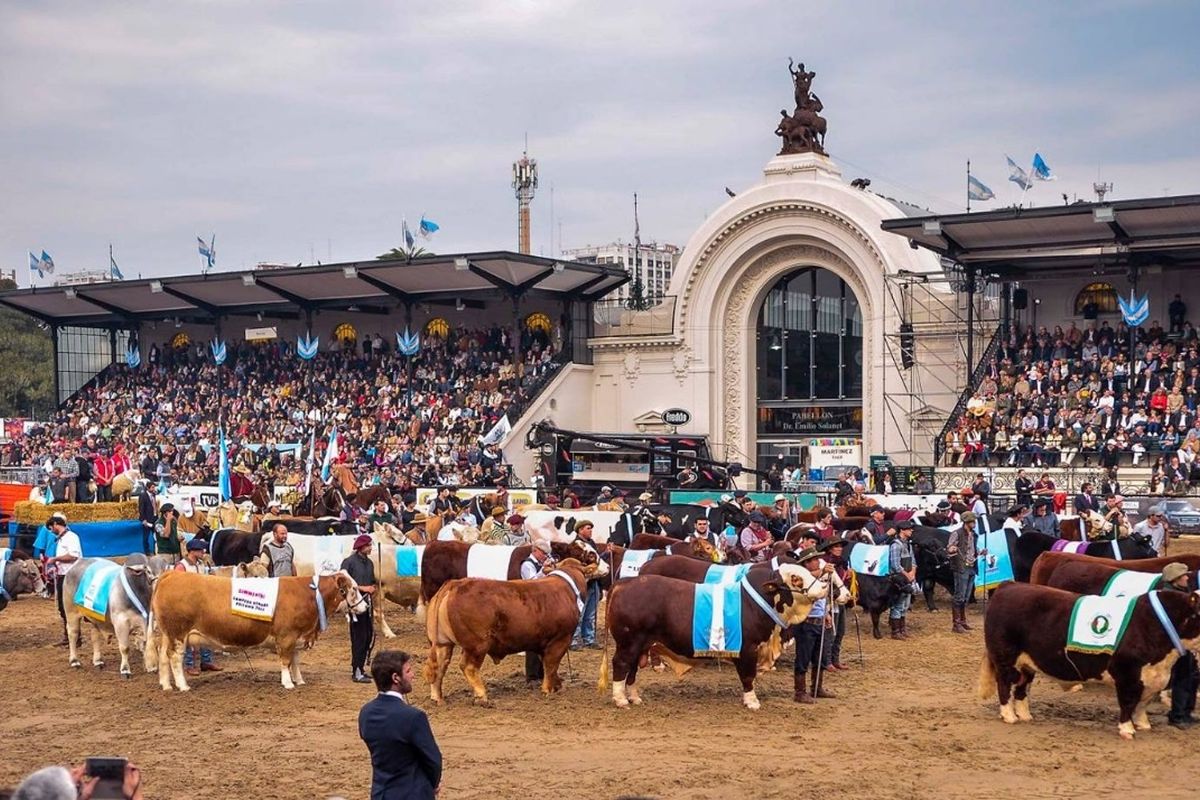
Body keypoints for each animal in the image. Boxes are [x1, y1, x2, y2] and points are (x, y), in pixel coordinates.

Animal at [148, 573, 364, 690]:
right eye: (353, 589)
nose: (365, 607)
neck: (309, 594)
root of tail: (171, 574)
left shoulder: (296, 637)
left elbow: (295, 660)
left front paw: (300, 680)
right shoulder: (286, 636)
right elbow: (286, 661)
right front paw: (288, 683)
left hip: (168, 634)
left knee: (164, 657)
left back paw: (166, 685)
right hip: (178, 633)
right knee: (175, 658)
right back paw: (183, 686)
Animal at [422, 561, 590, 705]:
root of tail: (455, 584)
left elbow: (548, 665)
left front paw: (557, 685)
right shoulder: (560, 640)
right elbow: (551, 664)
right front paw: (548, 690)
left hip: (443, 643)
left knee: (440, 666)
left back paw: (437, 698)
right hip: (477, 645)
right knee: (468, 667)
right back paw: (482, 696)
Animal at [604, 561, 830, 710]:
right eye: (795, 578)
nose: (824, 586)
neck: (756, 602)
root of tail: (624, 583)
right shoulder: (747, 649)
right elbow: (748, 676)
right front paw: (752, 701)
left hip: (640, 645)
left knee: (632, 671)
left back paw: (634, 698)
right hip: (628, 643)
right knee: (621, 665)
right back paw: (620, 699)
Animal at [979, 582, 1200, 738]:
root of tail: (1009, 585)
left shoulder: (1151, 677)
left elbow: (1142, 704)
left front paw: (1143, 724)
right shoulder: (1126, 673)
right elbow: (1128, 702)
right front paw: (1127, 729)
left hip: (1027, 664)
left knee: (1022, 689)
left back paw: (1025, 716)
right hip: (1006, 659)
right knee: (1004, 685)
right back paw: (1009, 716)